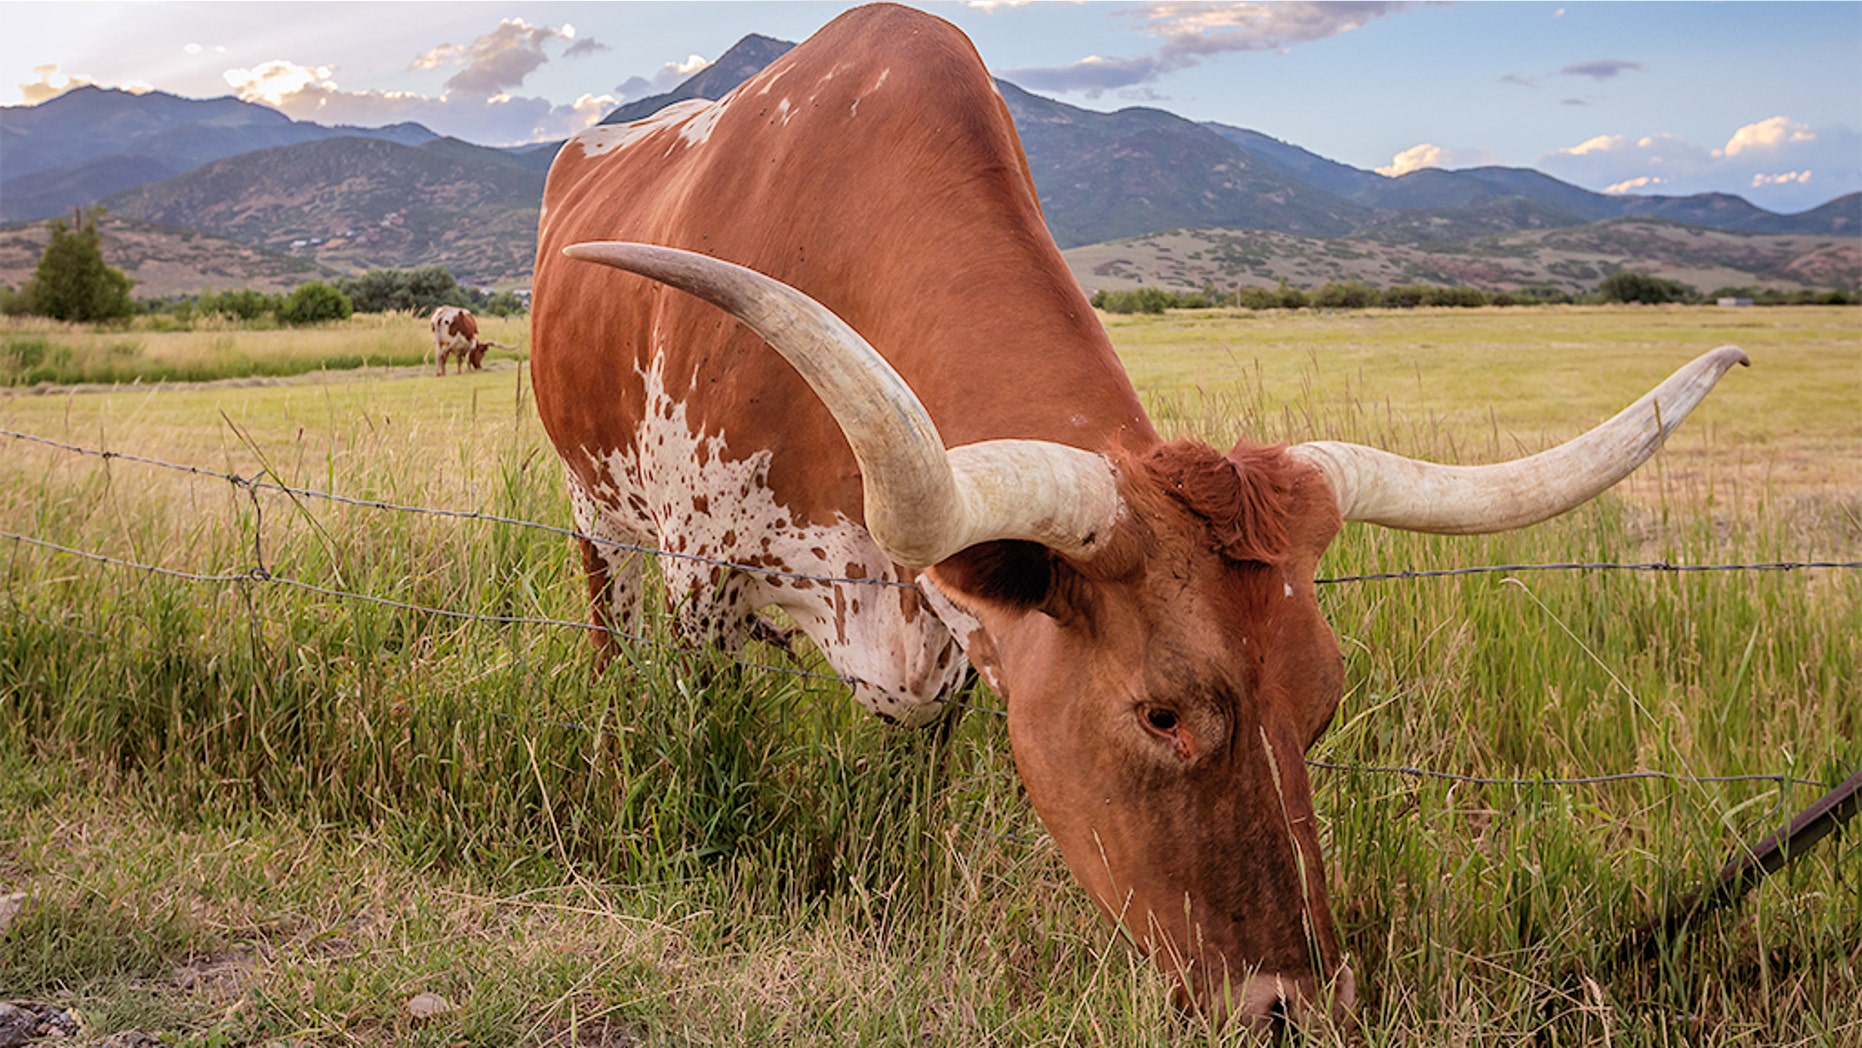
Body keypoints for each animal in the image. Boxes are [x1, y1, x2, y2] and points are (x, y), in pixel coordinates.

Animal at [528, 2, 1742, 1034]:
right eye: (1162, 714)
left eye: (1325, 703)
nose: (1294, 1010)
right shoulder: (702, 582)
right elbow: (704, 749)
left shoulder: (947, 641)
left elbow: (909, 787)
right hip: (599, 516)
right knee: (605, 629)